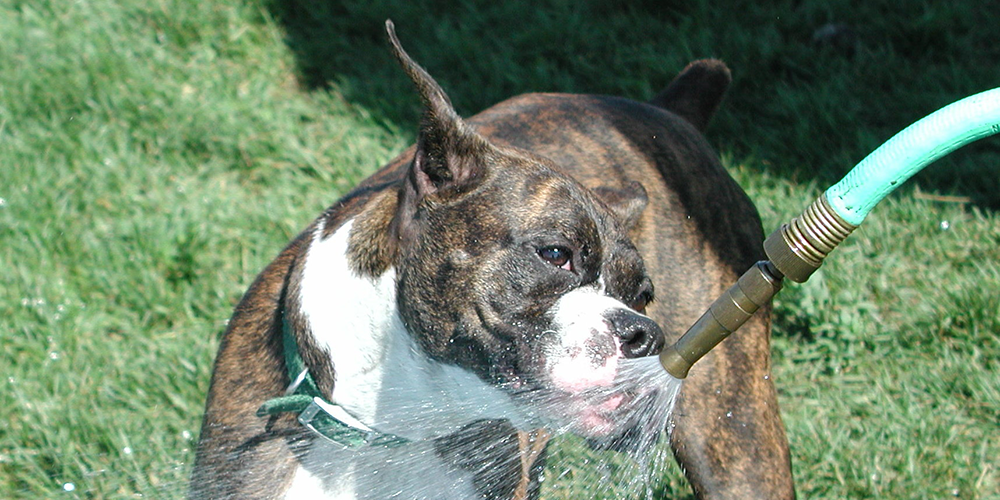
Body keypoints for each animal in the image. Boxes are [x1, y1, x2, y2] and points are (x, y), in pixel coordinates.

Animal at [191, 22, 792, 500]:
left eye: (642, 297)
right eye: (556, 255)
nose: (645, 334)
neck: (388, 426)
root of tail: (666, 110)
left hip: (734, 436)